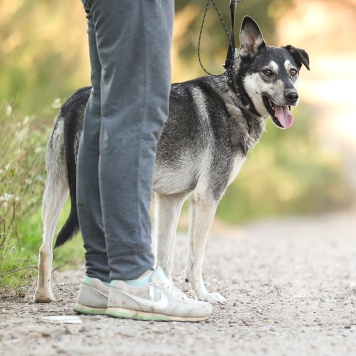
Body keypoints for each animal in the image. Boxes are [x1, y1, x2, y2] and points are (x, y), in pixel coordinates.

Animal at [34, 16, 310, 304]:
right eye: (267, 72)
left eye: (293, 72)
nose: (293, 96)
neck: (235, 97)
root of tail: (76, 101)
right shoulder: (206, 198)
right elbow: (195, 259)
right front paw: (203, 295)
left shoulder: (170, 199)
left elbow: (164, 257)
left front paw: (166, 293)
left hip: (57, 189)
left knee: (44, 247)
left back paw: (44, 294)